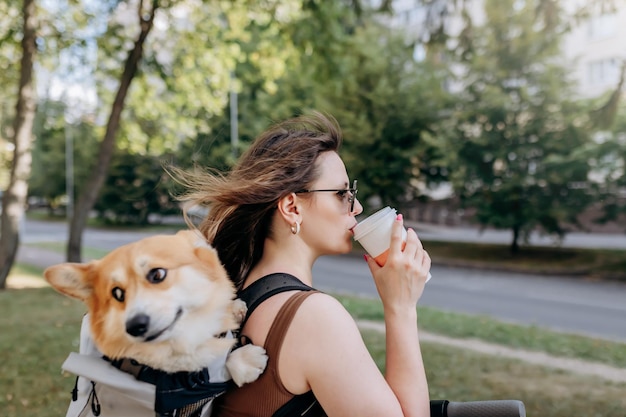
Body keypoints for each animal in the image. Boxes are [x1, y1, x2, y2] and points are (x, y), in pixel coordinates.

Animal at [44, 228, 266, 386]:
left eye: (157, 274)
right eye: (117, 293)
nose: (135, 326)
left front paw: (234, 309)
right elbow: (211, 363)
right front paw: (244, 362)